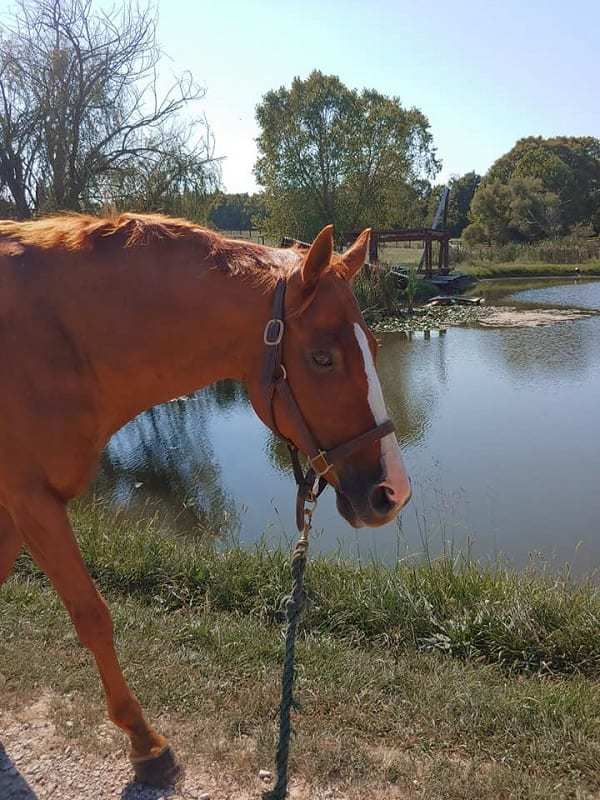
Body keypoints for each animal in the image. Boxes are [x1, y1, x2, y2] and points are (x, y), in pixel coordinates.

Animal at [0, 214, 411, 786]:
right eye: (322, 357)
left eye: (374, 347)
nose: (393, 491)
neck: (53, 336)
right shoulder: (30, 500)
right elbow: (93, 617)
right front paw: (145, 743)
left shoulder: (14, 508)